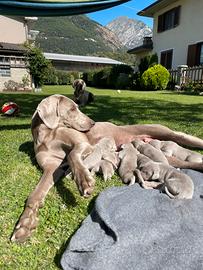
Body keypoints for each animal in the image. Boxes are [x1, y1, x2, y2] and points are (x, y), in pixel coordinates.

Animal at [11, 94, 203, 242]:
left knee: (184, 137)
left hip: (166, 132)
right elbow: (35, 195)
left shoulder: (83, 144)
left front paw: (84, 181)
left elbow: (73, 155)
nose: (92, 123)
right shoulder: (51, 167)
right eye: (72, 109)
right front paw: (24, 224)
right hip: (167, 157)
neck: (47, 134)